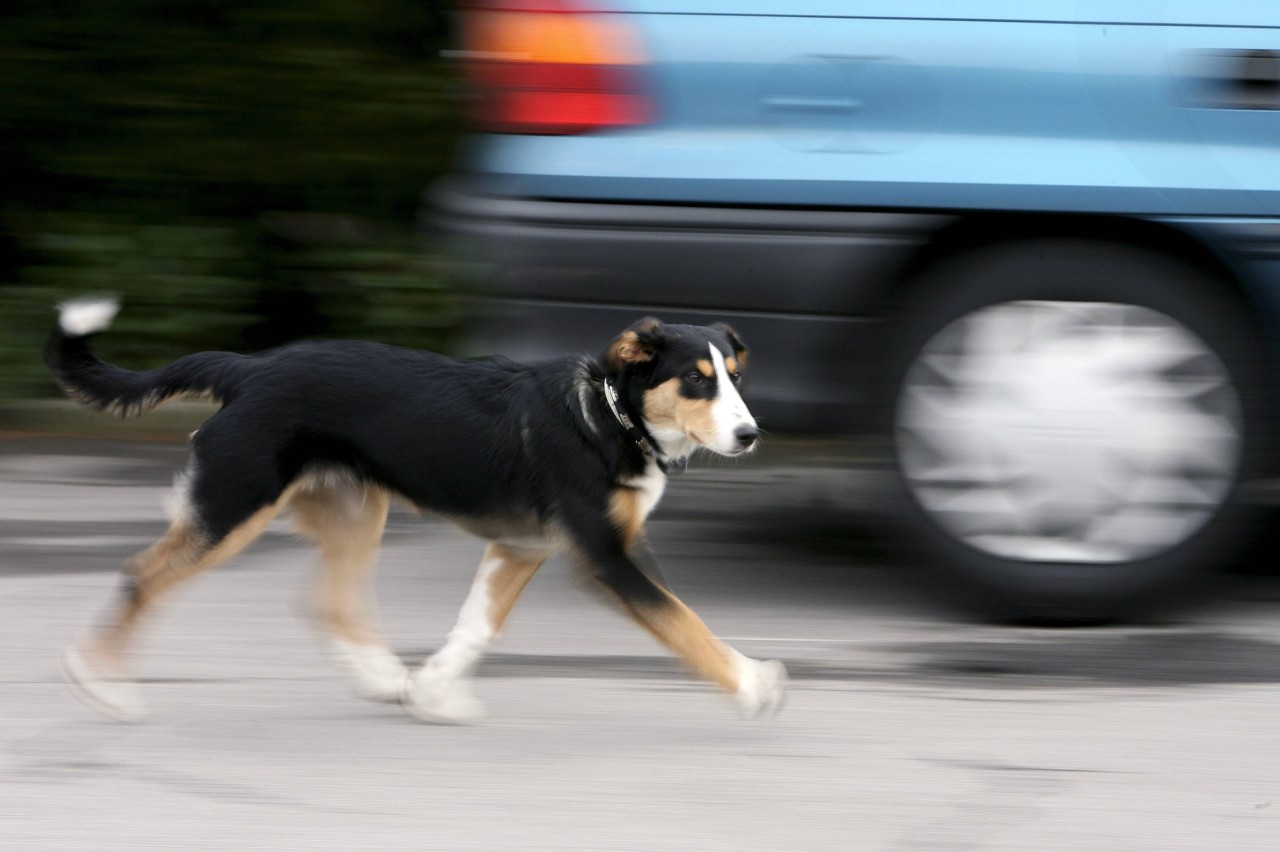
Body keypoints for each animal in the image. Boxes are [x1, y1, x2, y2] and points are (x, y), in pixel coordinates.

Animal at [45, 298, 783, 721]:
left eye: (735, 377)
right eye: (695, 380)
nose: (750, 435)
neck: (606, 417)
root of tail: (248, 369)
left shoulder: (522, 546)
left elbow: (476, 627)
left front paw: (430, 692)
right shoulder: (606, 556)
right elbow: (684, 623)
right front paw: (753, 684)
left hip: (352, 510)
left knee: (331, 604)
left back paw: (384, 680)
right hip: (231, 507)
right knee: (142, 575)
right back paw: (100, 684)